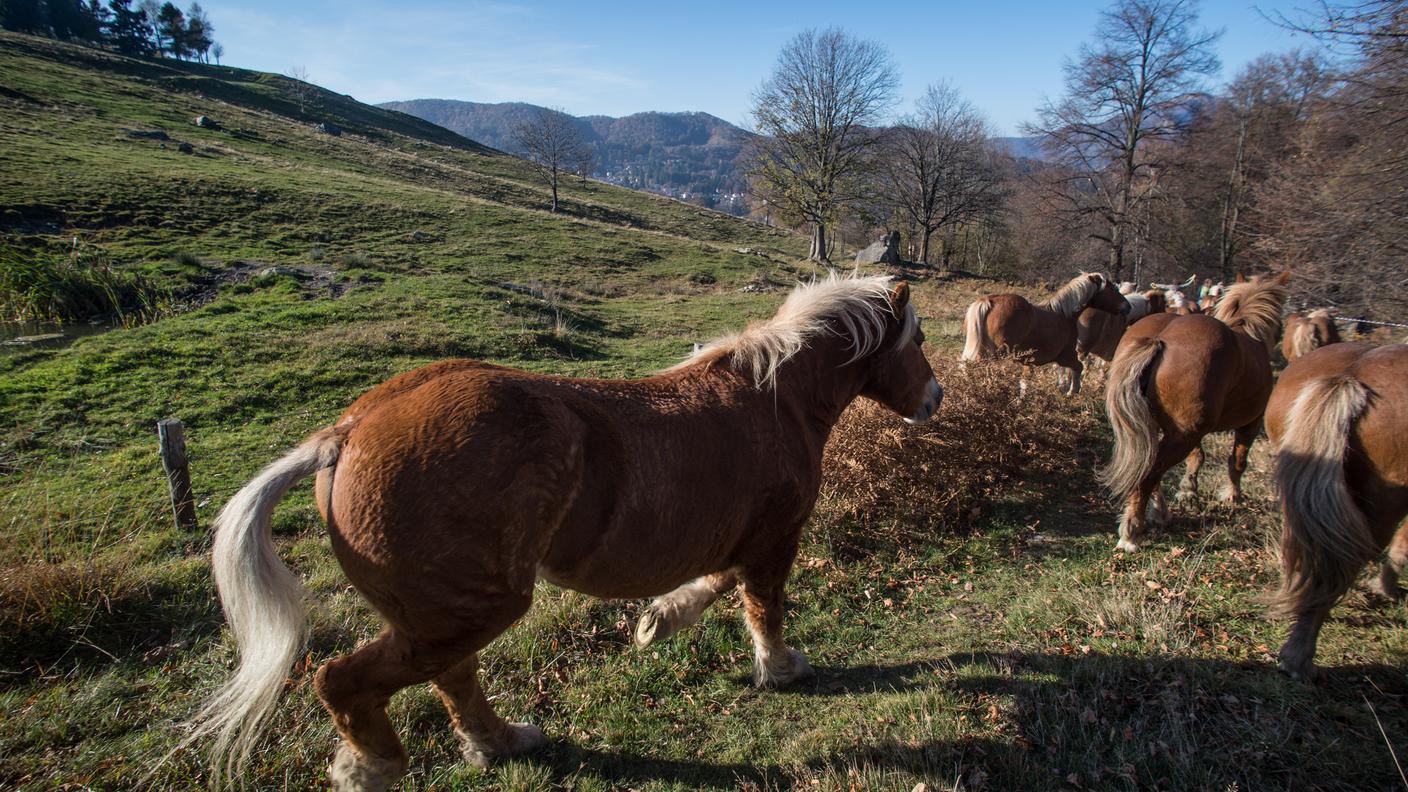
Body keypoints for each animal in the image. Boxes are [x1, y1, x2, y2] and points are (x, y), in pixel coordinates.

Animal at [181, 273, 940, 789]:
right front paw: (780, 669)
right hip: (468, 608)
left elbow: (716, 584)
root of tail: (347, 432)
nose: (934, 398)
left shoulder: (739, 539)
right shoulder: (774, 540)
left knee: (453, 678)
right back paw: (372, 767)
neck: (773, 399)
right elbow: (763, 606)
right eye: (921, 339)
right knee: (346, 682)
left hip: (443, 614)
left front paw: (659, 621)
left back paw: (503, 743)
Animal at [957, 273, 1132, 391]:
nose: (1128, 307)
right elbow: (1078, 367)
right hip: (994, 354)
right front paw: (1073, 392)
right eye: (1111, 288)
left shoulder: (1028, 362)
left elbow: (1025, 382)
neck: (1064, 314)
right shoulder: (1065, 356)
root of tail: (989, 301)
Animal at [1103, 270, 1289, 549]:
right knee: (1150, 473)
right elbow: (1237, 461)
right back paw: (1132, 530)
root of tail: (1159, 339)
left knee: (1151, 468)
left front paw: (1189, 491)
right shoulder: (1251, 422)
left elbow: (1196, 457)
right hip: (1185, 433)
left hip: (1166, 429)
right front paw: (1232, 495)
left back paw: (1159, 513)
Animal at [1267, 342, 1408, 676]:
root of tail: (1347, 379)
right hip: (1384, 499)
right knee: (1340, 564)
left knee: (1299, 547)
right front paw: (1386, 587)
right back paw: (1298, 657)